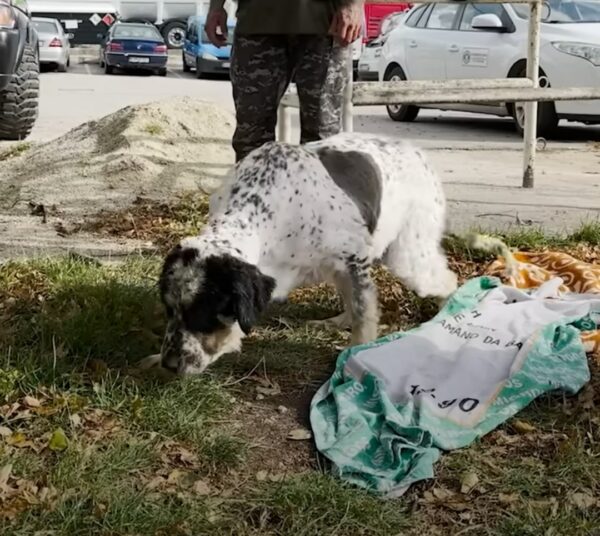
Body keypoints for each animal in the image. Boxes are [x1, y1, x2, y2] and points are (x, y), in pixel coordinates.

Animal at [157, 133, 458, 374]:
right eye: (169, 310)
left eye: (203, 312)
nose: (169, 365)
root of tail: (415, 149)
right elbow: (358, 305)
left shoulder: (356, 256)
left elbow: (364, 315)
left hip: (408, 259)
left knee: (449, 280)